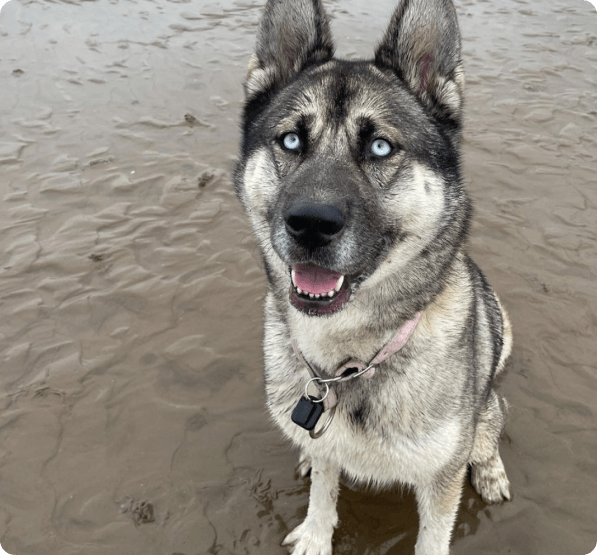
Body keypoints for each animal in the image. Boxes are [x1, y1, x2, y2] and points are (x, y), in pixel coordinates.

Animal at [233, 1, 512, 555]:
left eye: (381, 147)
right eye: (291, 140)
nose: (310, 223)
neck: (346, 366)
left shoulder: (441, 477)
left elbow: (433, 536)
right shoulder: (328, 446)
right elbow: (324, 488)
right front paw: (315, 536)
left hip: (486, 408)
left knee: (489, 429)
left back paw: (490, 468)